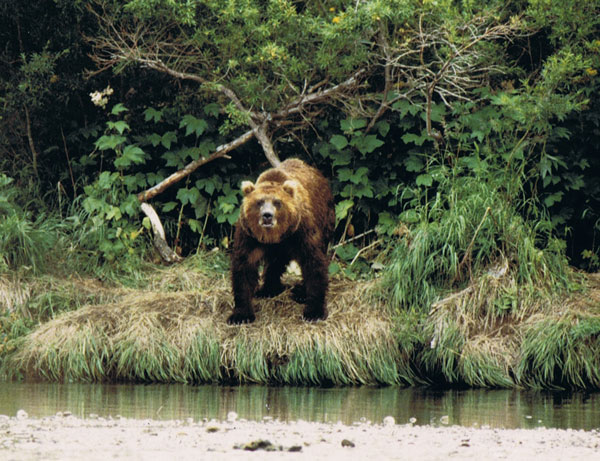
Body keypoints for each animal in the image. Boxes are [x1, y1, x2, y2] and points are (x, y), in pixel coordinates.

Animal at [227, 158, 336, 324]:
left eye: (277, 202)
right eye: (259, 202)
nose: (267, 215)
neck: (274, 235)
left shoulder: (301, 230)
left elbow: (313, 263)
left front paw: (314, 311)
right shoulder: (249, 236)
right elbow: (244, 267)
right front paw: (241, 315)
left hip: (325, 218)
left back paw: (299, 292)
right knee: (275, 263)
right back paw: (268, 289)